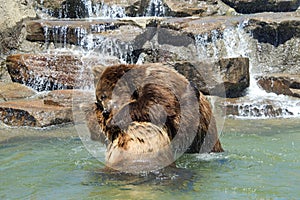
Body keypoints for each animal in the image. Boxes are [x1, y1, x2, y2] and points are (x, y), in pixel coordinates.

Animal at [94, 63, 223, 172]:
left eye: (103, 96)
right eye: (100, 99)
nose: (105, 111)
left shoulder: (159, 85)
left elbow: (156, 105)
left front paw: (115, 120)